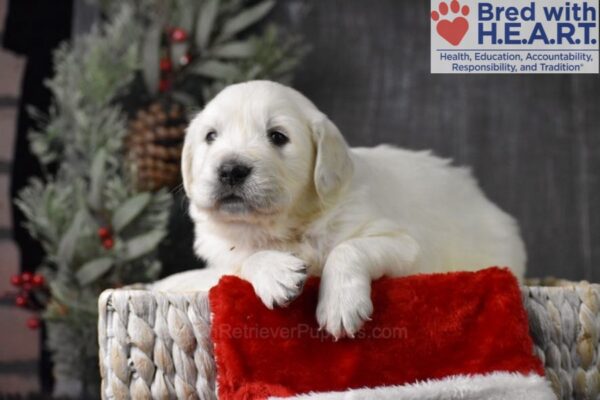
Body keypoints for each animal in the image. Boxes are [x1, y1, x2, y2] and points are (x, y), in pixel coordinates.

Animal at [154, 79, 524, 340]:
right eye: (210, 136)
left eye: (277, 136)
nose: (230, 170)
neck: (289, 227)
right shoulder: (222, 255)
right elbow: (242, 260)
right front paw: (275, 272)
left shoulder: (407, 245)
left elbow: (349, 248)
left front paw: (339, 304)